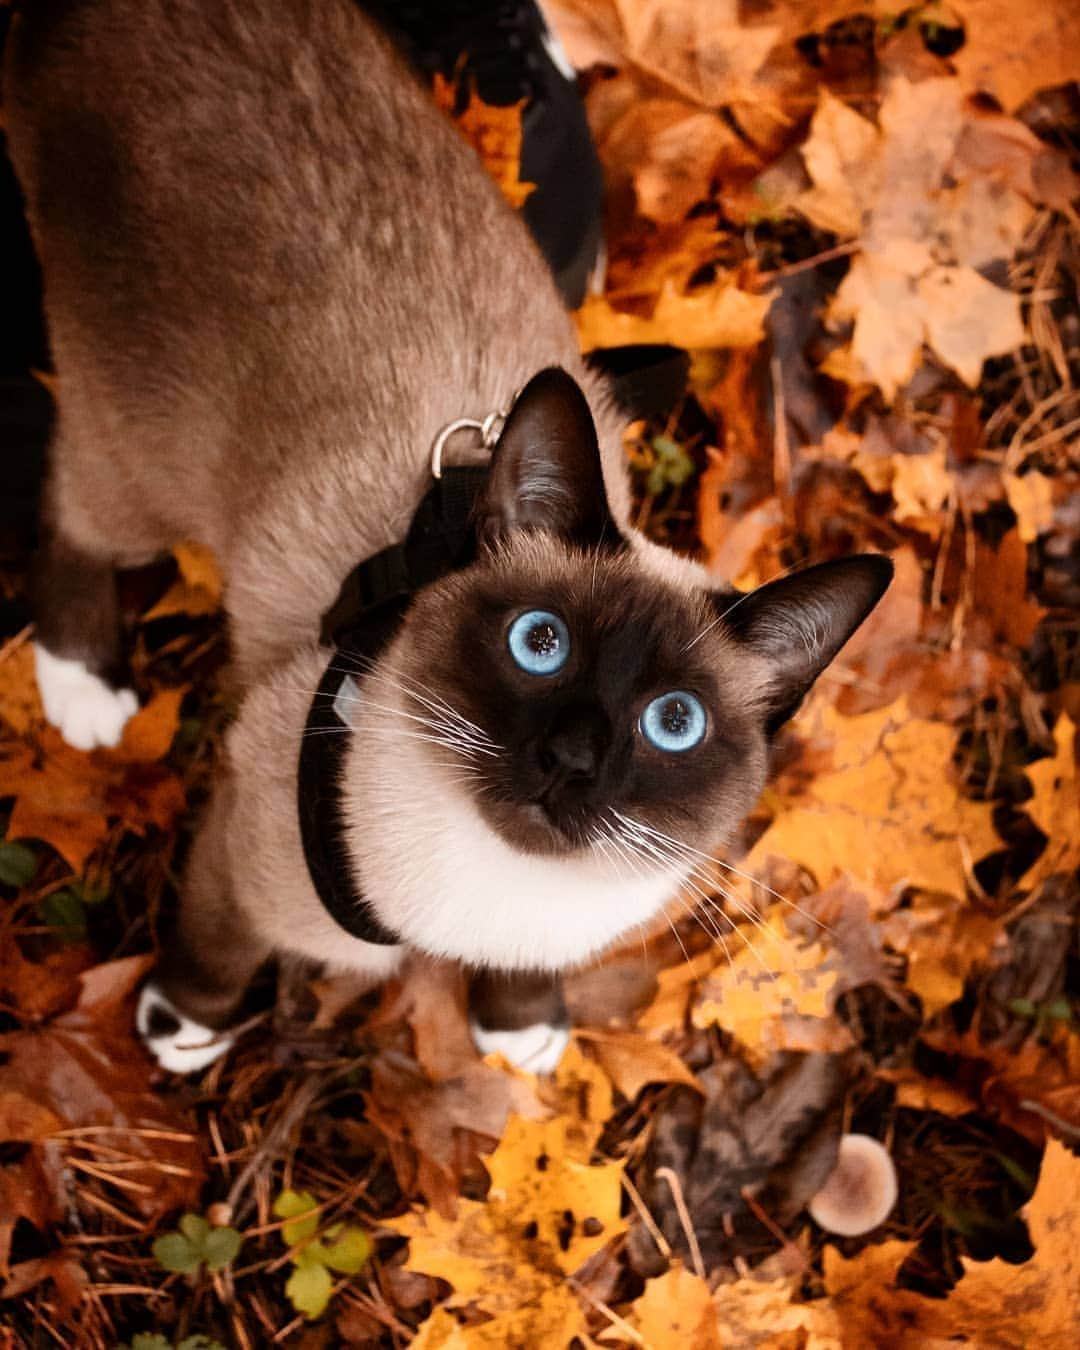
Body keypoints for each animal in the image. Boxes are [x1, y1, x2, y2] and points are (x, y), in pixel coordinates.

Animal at [4, 0, 891, 1074]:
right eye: (539, 644)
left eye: (674, 722)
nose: (571, 760)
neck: (491, 898)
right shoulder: (241, 836)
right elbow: (216, 946)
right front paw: (183, 1026)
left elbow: (525, 979)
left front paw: (519, 1029)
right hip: (142, 461)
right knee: (69, 503)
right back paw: (83, 686)